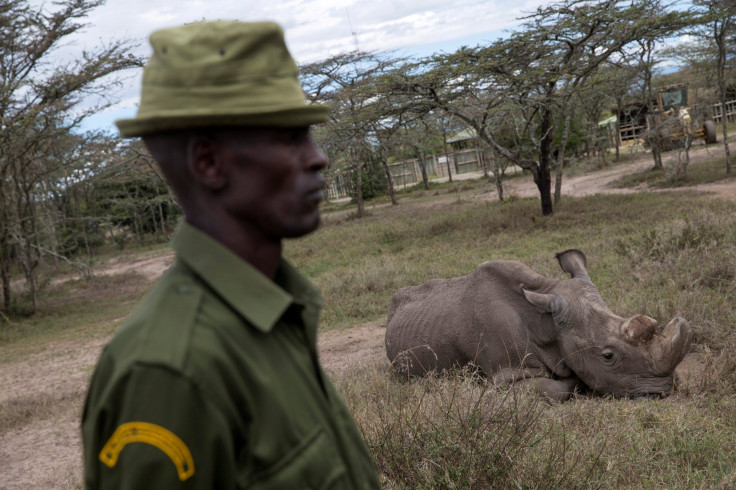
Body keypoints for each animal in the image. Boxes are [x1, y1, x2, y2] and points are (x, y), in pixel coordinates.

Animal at [386, 251, 688, 400]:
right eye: (607, 356)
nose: (662, 391)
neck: (546, 323)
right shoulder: (506, 376)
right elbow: (557, 388)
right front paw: (572, 381)